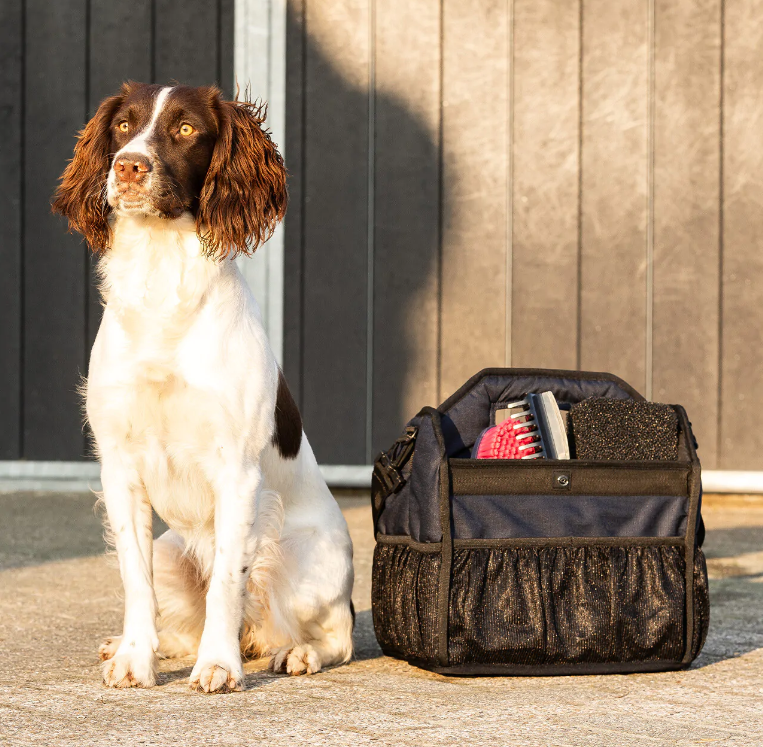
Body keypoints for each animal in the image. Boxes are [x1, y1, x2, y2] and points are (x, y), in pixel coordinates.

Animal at [52, 83, 356, 696]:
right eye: (122, 126)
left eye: (187, 129)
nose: (128, 166)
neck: (161, 282)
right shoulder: (119, 466)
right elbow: (135, 582)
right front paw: (135, 659)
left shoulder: (236, 471)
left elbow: (227, 587)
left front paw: (219, 666)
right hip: (173, 551)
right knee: (183, 621)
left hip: (304, 561)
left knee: (334, 635)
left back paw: (297, 653)